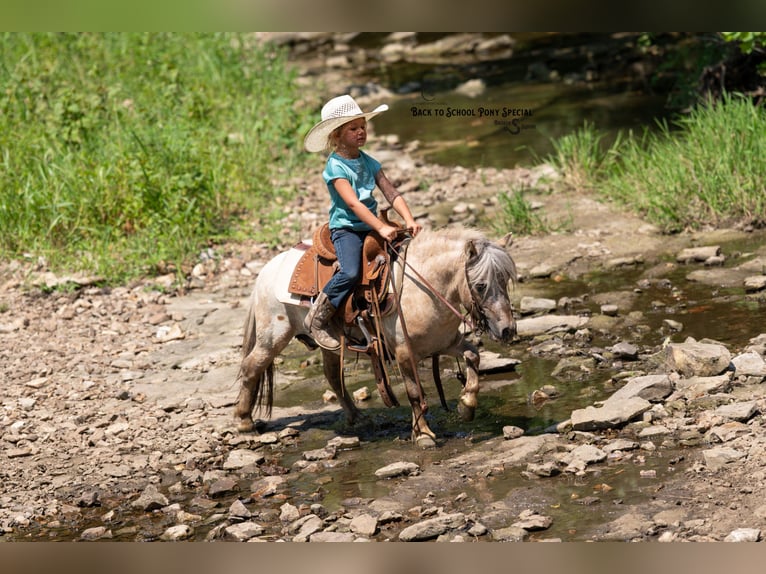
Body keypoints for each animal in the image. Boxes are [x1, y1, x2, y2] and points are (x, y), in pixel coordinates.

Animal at [233, 225, 518, 447]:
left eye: (505, 280)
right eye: (480, 285)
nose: (507, 330)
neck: (425, 289)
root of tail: (267, 270)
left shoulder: (445, 343)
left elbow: (474, 355)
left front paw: (466, 406)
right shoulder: (404, 353)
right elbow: (414, 392)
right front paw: (423, 434)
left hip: (329, 345)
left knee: (332, 376)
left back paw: (357, 417)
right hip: (273, 336)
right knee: (251, 367)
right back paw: (245, 422)